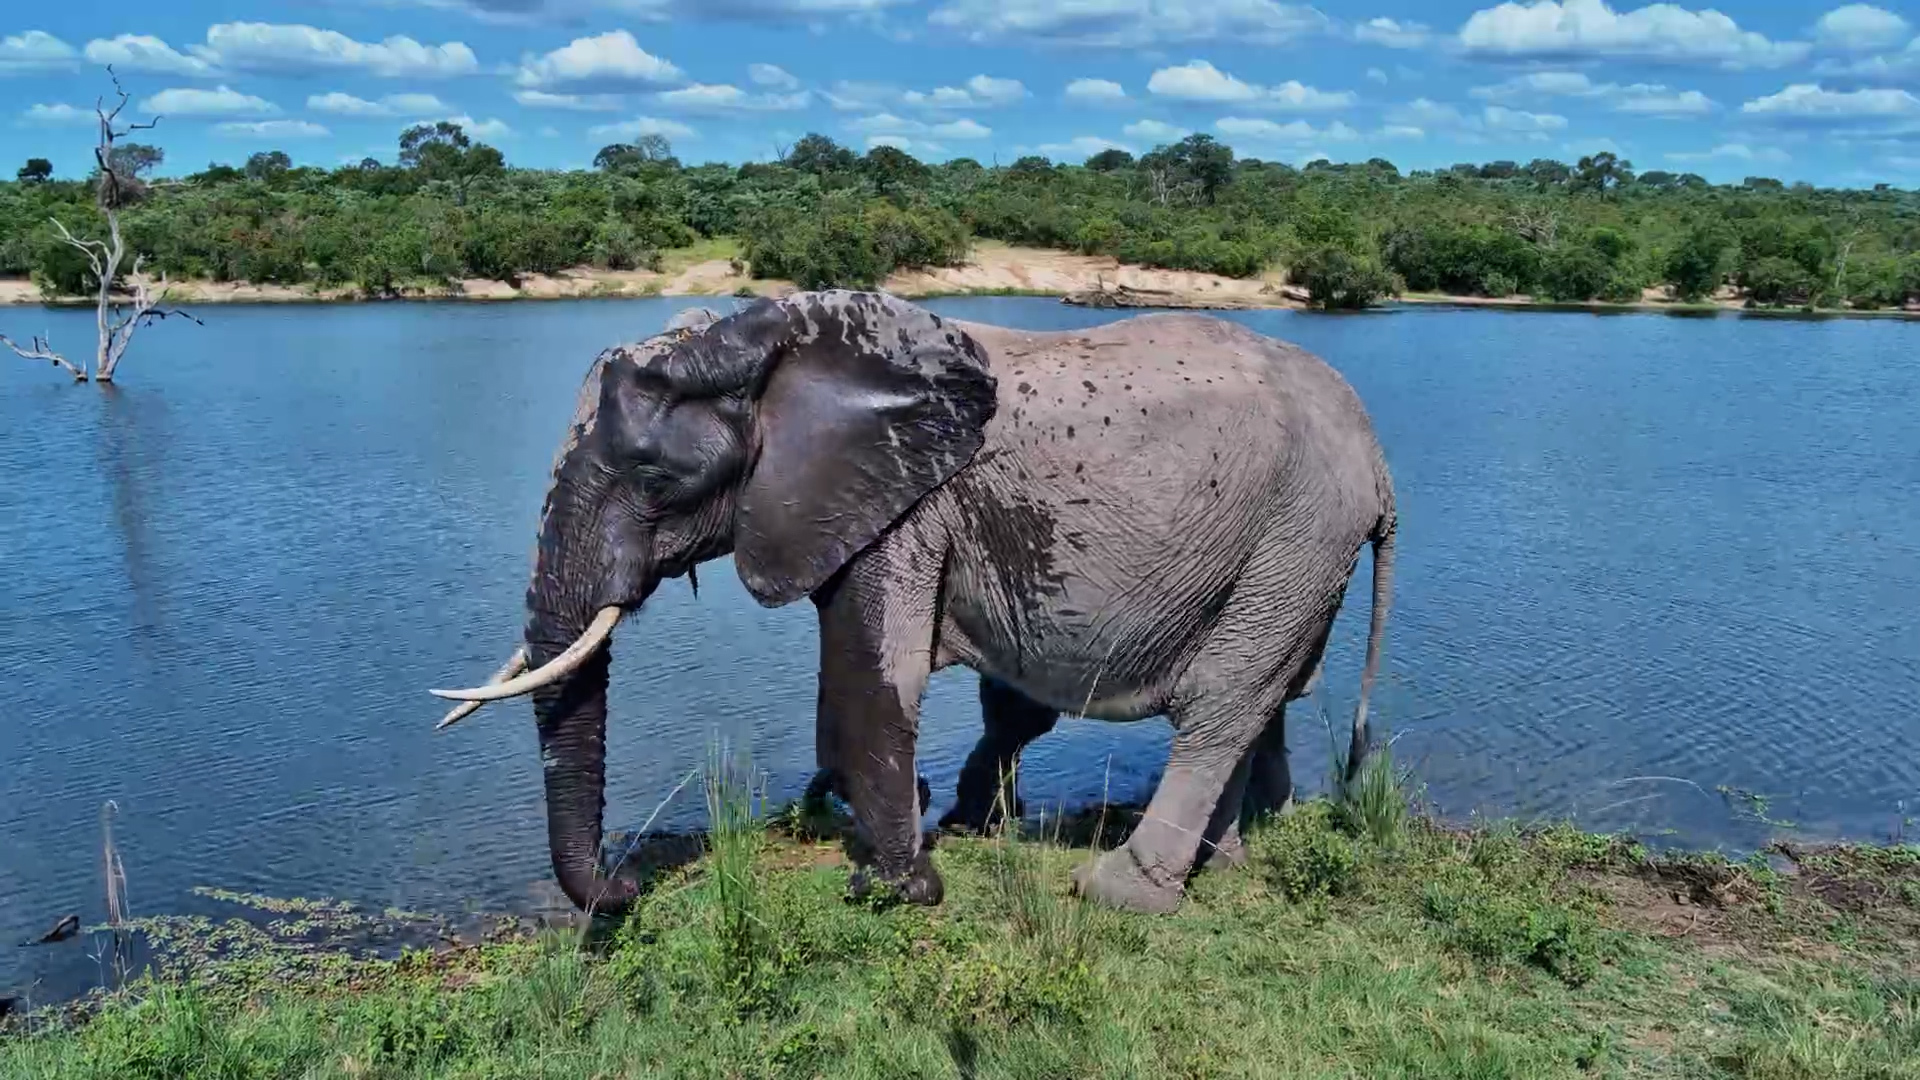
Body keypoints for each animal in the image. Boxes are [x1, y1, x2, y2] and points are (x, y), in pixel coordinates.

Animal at [431, 290, 1396, 918]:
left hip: (1299, 532)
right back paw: (1226, 865)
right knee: (1266, 698)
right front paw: (868, 820)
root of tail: (1381, 465)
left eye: (654, 477)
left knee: (1222, 704)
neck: (767, 339)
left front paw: (895, 890)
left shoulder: (906, 505)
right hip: (1290, 550)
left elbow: (873, 673)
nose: (627, 887)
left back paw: (1119, 892)